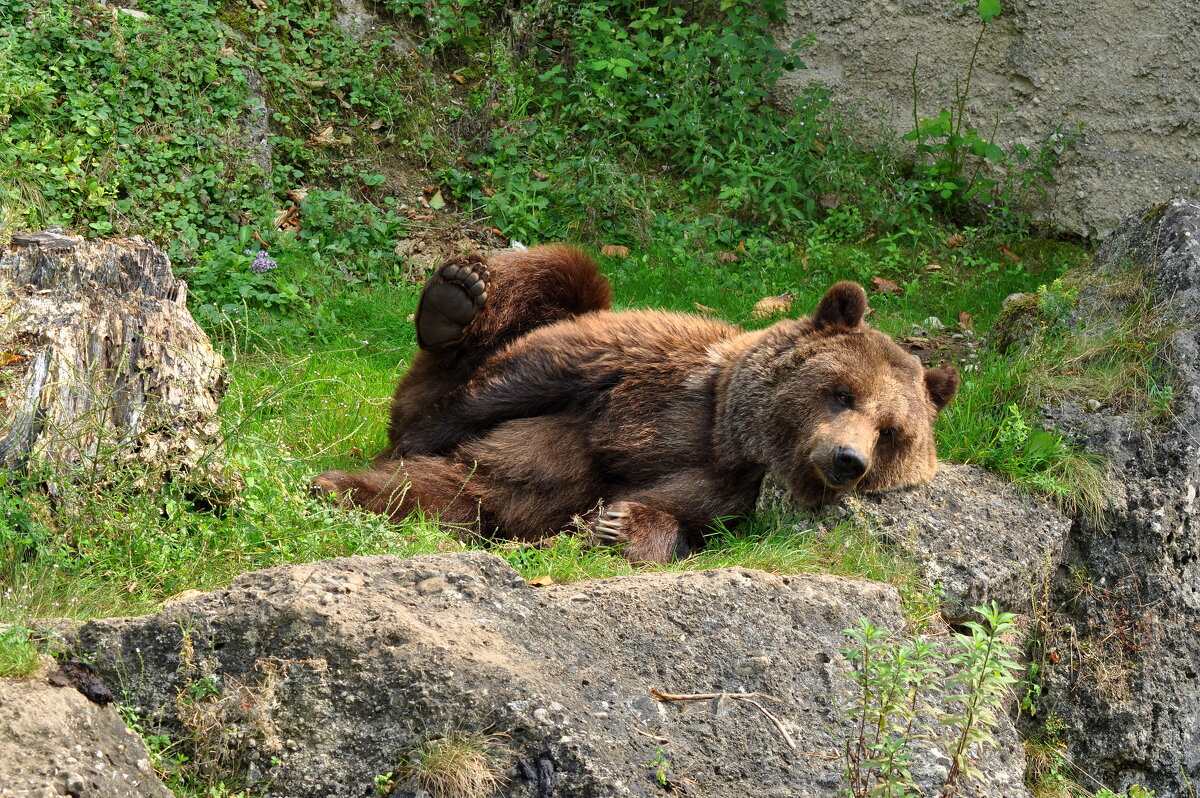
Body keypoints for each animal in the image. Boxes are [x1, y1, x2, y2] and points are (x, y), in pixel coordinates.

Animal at [314, 246, 960, 564]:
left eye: (893, 431)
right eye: (842, 391)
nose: (849, 459)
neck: (728, 431)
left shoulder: (726, 492)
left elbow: (678, 522)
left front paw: (616, 527)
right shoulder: (650, 363)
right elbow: (529, 377)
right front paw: (422, 435)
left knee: (445, 494)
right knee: (556, 274)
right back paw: (452, 301)